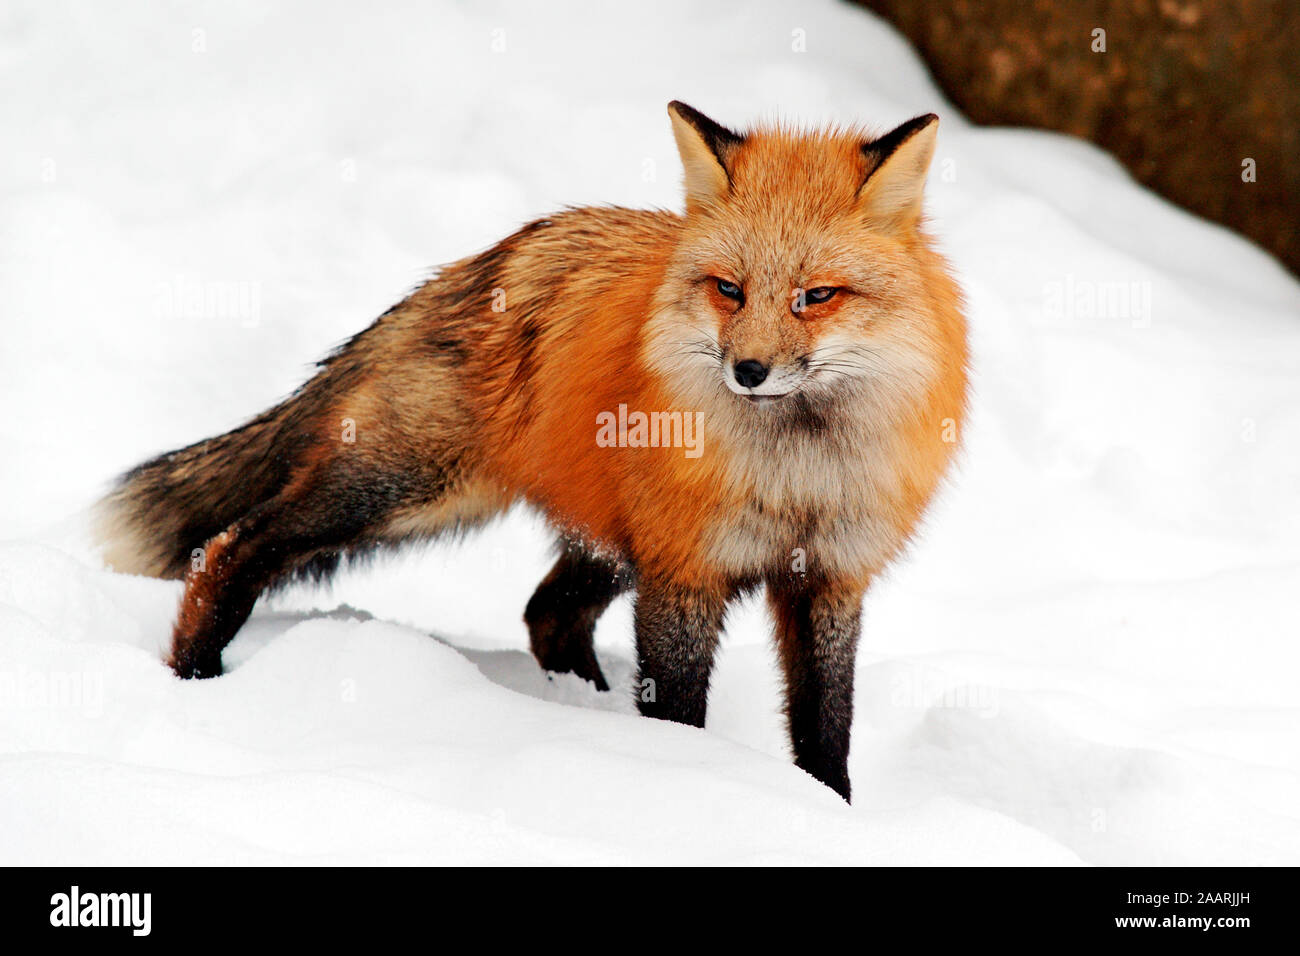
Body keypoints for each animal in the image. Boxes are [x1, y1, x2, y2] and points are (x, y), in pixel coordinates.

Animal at [96, 100, 967, 801]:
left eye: (816, 297)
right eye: (729, 289)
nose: (747, 370)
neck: (798, 475)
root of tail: (478, 262)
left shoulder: (829, 579)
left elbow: (827, 727)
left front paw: (830, 814)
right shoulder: (683, 574)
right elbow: (682, 713)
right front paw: (689, 790)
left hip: (602, 542)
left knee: (545, 614)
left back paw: (583, 713)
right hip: (400, 495)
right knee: (230, 549)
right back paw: (194, 676)